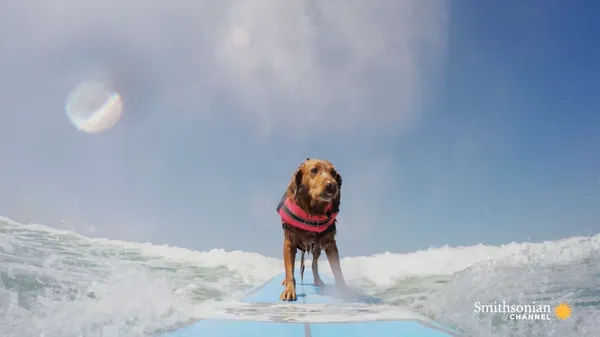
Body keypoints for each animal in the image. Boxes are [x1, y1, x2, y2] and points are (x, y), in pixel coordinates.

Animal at [276, 156, 346, 300]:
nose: (332, 185)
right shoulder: (289, 242)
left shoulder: (330, 244)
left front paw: (345, 291)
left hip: (317, 248)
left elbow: (338, 271)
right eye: (314, 170)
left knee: (314, 263)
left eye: (334, 174)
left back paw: (318, 280)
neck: (313, 211)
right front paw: (289, 290)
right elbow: (289, 270)